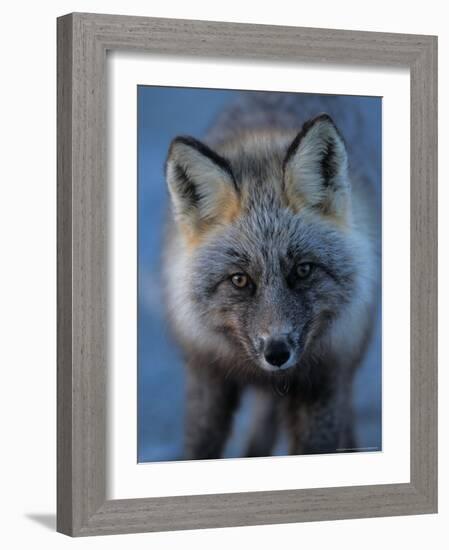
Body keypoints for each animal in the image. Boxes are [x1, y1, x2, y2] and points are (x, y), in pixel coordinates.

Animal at [161, 91, 378, 462]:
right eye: (239, 280)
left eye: (303, 270)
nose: (277, 353)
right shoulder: (207, 375)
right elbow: (200, 447)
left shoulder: (326, 380)